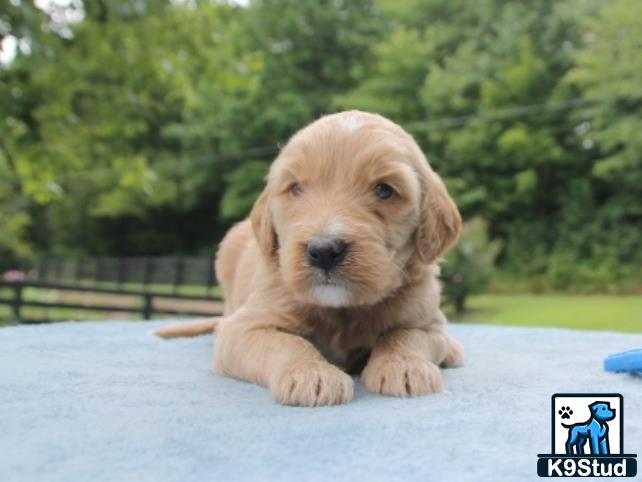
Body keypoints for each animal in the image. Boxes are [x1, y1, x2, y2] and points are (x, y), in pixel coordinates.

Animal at [158, 111, 462, 404]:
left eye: (384, 190)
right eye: (295, 189)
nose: (324, 252)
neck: (342, 310)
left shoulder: (427, 322)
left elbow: (403, 334)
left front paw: (404, 364)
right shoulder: (242, 328)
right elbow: (287, 343)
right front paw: (311, 373)